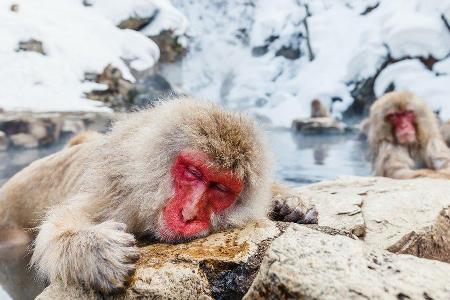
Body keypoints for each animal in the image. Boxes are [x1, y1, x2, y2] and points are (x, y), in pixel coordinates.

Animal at [0, 98, 316, 292]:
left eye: (220, 188)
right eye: (193, 173)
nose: (189, 214)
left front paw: (292, 202)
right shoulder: (116, 195)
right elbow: (59, 227)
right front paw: (94, 249)